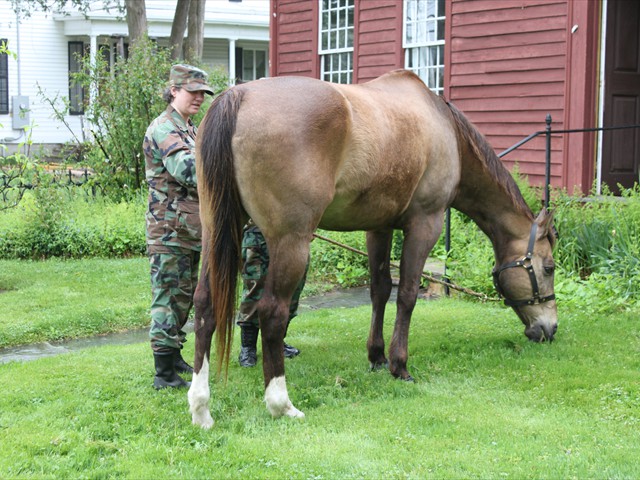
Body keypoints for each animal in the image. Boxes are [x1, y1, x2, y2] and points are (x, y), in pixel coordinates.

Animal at [188, 70, 558, 429]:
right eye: (549, 267)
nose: (550, 329)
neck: (444, 128)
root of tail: (239, 95)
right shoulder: (425, 224)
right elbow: (406, 294)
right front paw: (399, 365)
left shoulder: (378, 227)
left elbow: (379, 290)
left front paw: (377, 356)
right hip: (289, 242)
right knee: (272, 313)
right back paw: (281, 405)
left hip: (217, 232)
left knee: (205, 305)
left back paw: (201, 408)